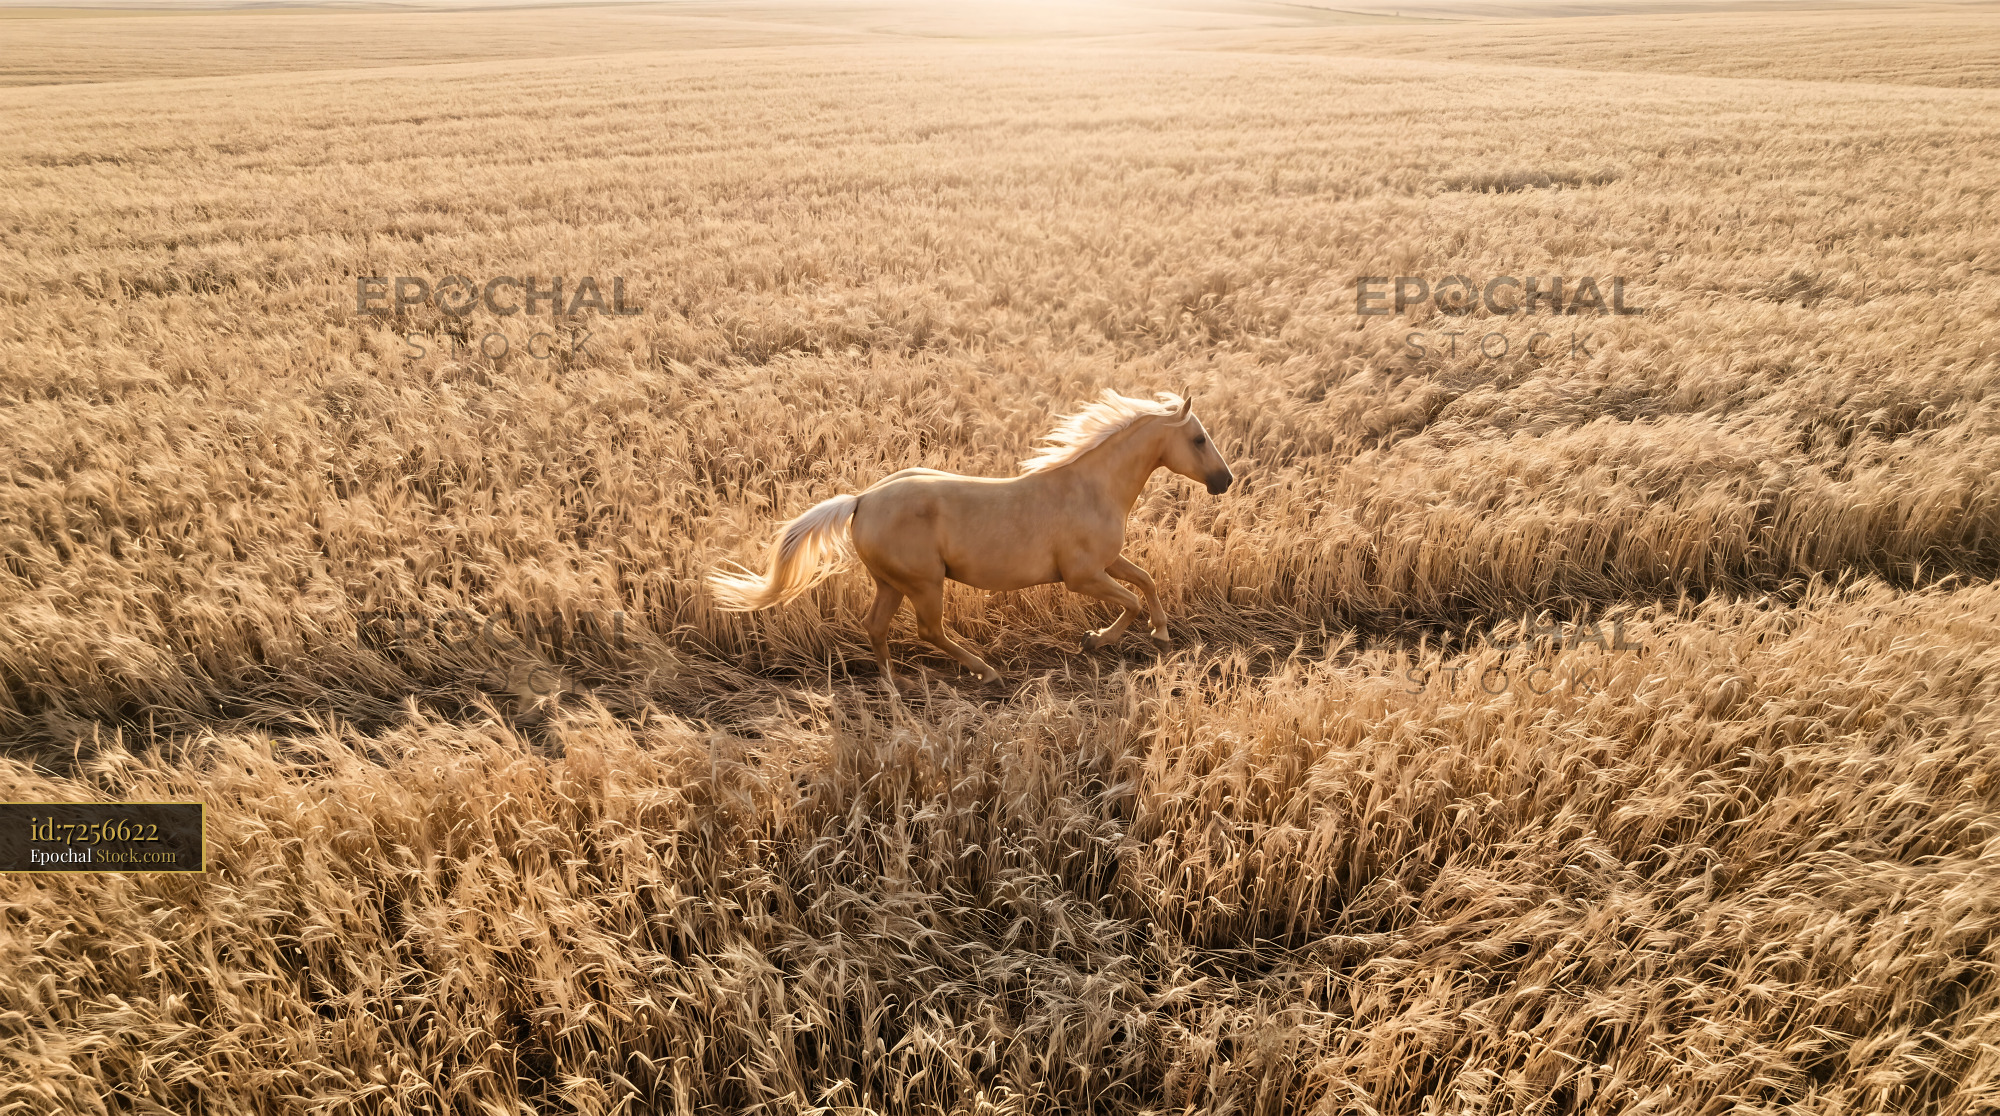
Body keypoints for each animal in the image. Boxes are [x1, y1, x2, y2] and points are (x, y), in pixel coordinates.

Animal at [708, 389, 1234, 688]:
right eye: (1199, 439)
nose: (1225, 481)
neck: (1092, 487)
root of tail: (861, 500)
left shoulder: (1107, 562)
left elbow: (1145, 582)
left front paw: (1160, 633)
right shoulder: (1081, 575)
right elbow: (1131, 600)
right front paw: (1096, 641)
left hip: (892, 583)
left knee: (875, 626)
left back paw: (895, 685)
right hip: (924, 583)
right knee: (929, 631)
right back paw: (985, 671)